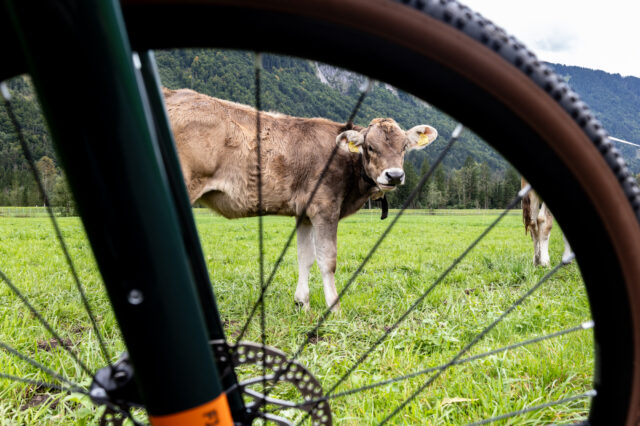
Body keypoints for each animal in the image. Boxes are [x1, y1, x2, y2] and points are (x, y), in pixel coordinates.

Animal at [163, 88, 438, 311]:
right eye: (370, 147)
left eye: (404, 147)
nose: (394, 175)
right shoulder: (325, 208)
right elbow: (327, 260)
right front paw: (334, 309)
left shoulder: (304, 213)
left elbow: (304, 258)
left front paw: (302, 304)